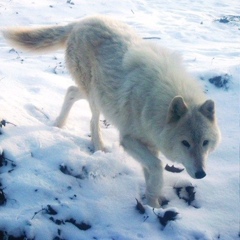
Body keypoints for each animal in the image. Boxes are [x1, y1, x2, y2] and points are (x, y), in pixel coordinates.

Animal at [2, 15, 221, 208]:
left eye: (205, 143)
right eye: (185, 143)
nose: (201, 174)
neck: (155, 103)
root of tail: (81, 22)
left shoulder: (150, 144)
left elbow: (150, 173)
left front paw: (153, 205)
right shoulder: (129, 140)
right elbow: (157, 167)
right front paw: (154, 205)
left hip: (94, 93)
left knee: (71, 91)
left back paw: (59, 124)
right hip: (96, 97)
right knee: (92, 121)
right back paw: (98, 146)